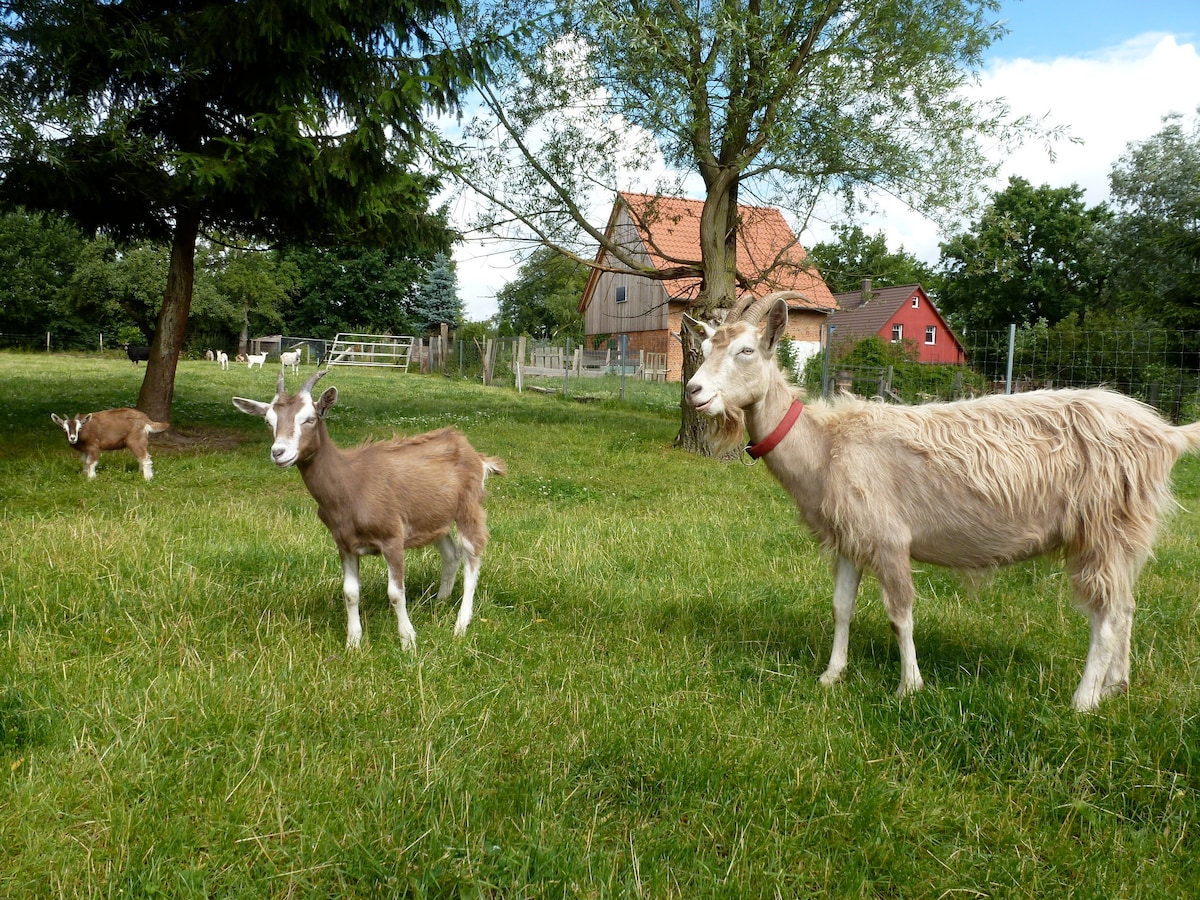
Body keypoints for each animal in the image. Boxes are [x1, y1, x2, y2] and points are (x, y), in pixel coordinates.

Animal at [232, 369, 506, 652]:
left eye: (310, 418)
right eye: (268, 421)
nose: (279, 452)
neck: (350, 483)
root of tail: (475, 454)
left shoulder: (392, 537)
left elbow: (396, 594)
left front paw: (408, 641)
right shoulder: (344, 544)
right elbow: (350, 592)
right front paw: (353, 642)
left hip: (468, 506)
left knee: (472, 555)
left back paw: (460, 625)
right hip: (433, 517)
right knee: (451, 554)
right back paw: (440, 603)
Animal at [686, 294, 1200, 710]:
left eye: (746, 350)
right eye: (705, 349)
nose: (693, 391)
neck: (827, 446)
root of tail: (1165, 434)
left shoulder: (890, 538)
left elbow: (900, 615)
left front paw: (908, 687)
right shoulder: (850, 537)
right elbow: (840, 607)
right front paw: (831, 676)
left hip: (1103, 526)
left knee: (1107, 615)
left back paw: (1083, 701)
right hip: (1125, 534)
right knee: (1126, 606)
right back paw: (1117, 686)